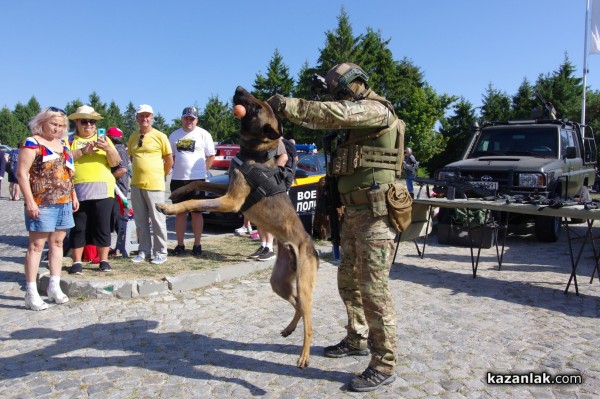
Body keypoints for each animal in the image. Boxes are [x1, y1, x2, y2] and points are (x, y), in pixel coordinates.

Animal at [157, 86, 322, 368]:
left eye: (255, 107)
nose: (238, 89)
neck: (255, 153)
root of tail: (308, 246)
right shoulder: (225, 189)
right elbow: (200, 185)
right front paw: (177, 190)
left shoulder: (232, 201)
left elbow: (195, 202)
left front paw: (168, 208)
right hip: (278, 283)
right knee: (299, 306)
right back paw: (289, 328)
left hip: (303, 282)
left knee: (309, 321)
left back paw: (304, 355)